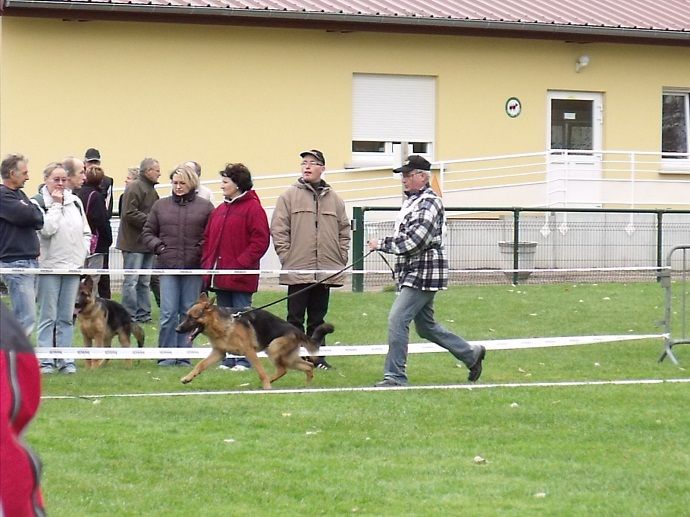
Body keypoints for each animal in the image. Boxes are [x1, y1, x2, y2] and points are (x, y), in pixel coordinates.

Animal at [173, 292, 332, 390]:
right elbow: (200, 364)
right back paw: (307, 386)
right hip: (287, 357)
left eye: (193, 318)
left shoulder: (249, 352)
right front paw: (188, 378)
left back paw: (272, 381)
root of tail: (297, 331)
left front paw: (267, 387)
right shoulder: (219, 353)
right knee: (308, 366)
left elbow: (261, 372)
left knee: (284, 369)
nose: (177, 329)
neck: (225, 324)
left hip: (274, 350)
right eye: (186, 316)